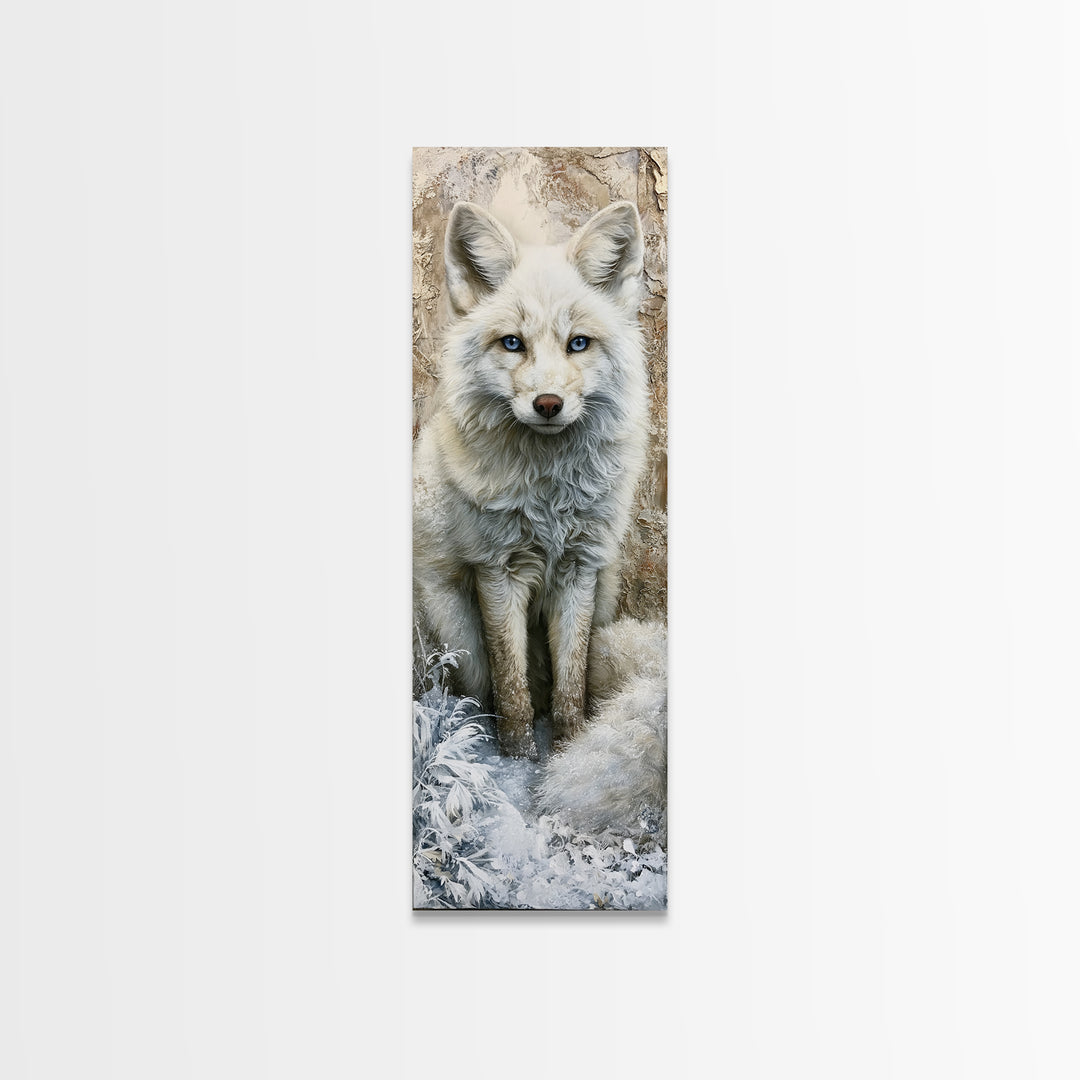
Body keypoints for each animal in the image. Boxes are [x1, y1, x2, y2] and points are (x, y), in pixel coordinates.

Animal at [413, 199, 650, 758]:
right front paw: (519, 759)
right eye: (513, 344)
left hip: (607, 594)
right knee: (480, 690)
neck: (548, 498)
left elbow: (570, 684)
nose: (547, 404)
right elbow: (512, 686)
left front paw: (568, 749)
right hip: (457, 631)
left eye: (578, 344)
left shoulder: (580, 571)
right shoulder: (497, 570)